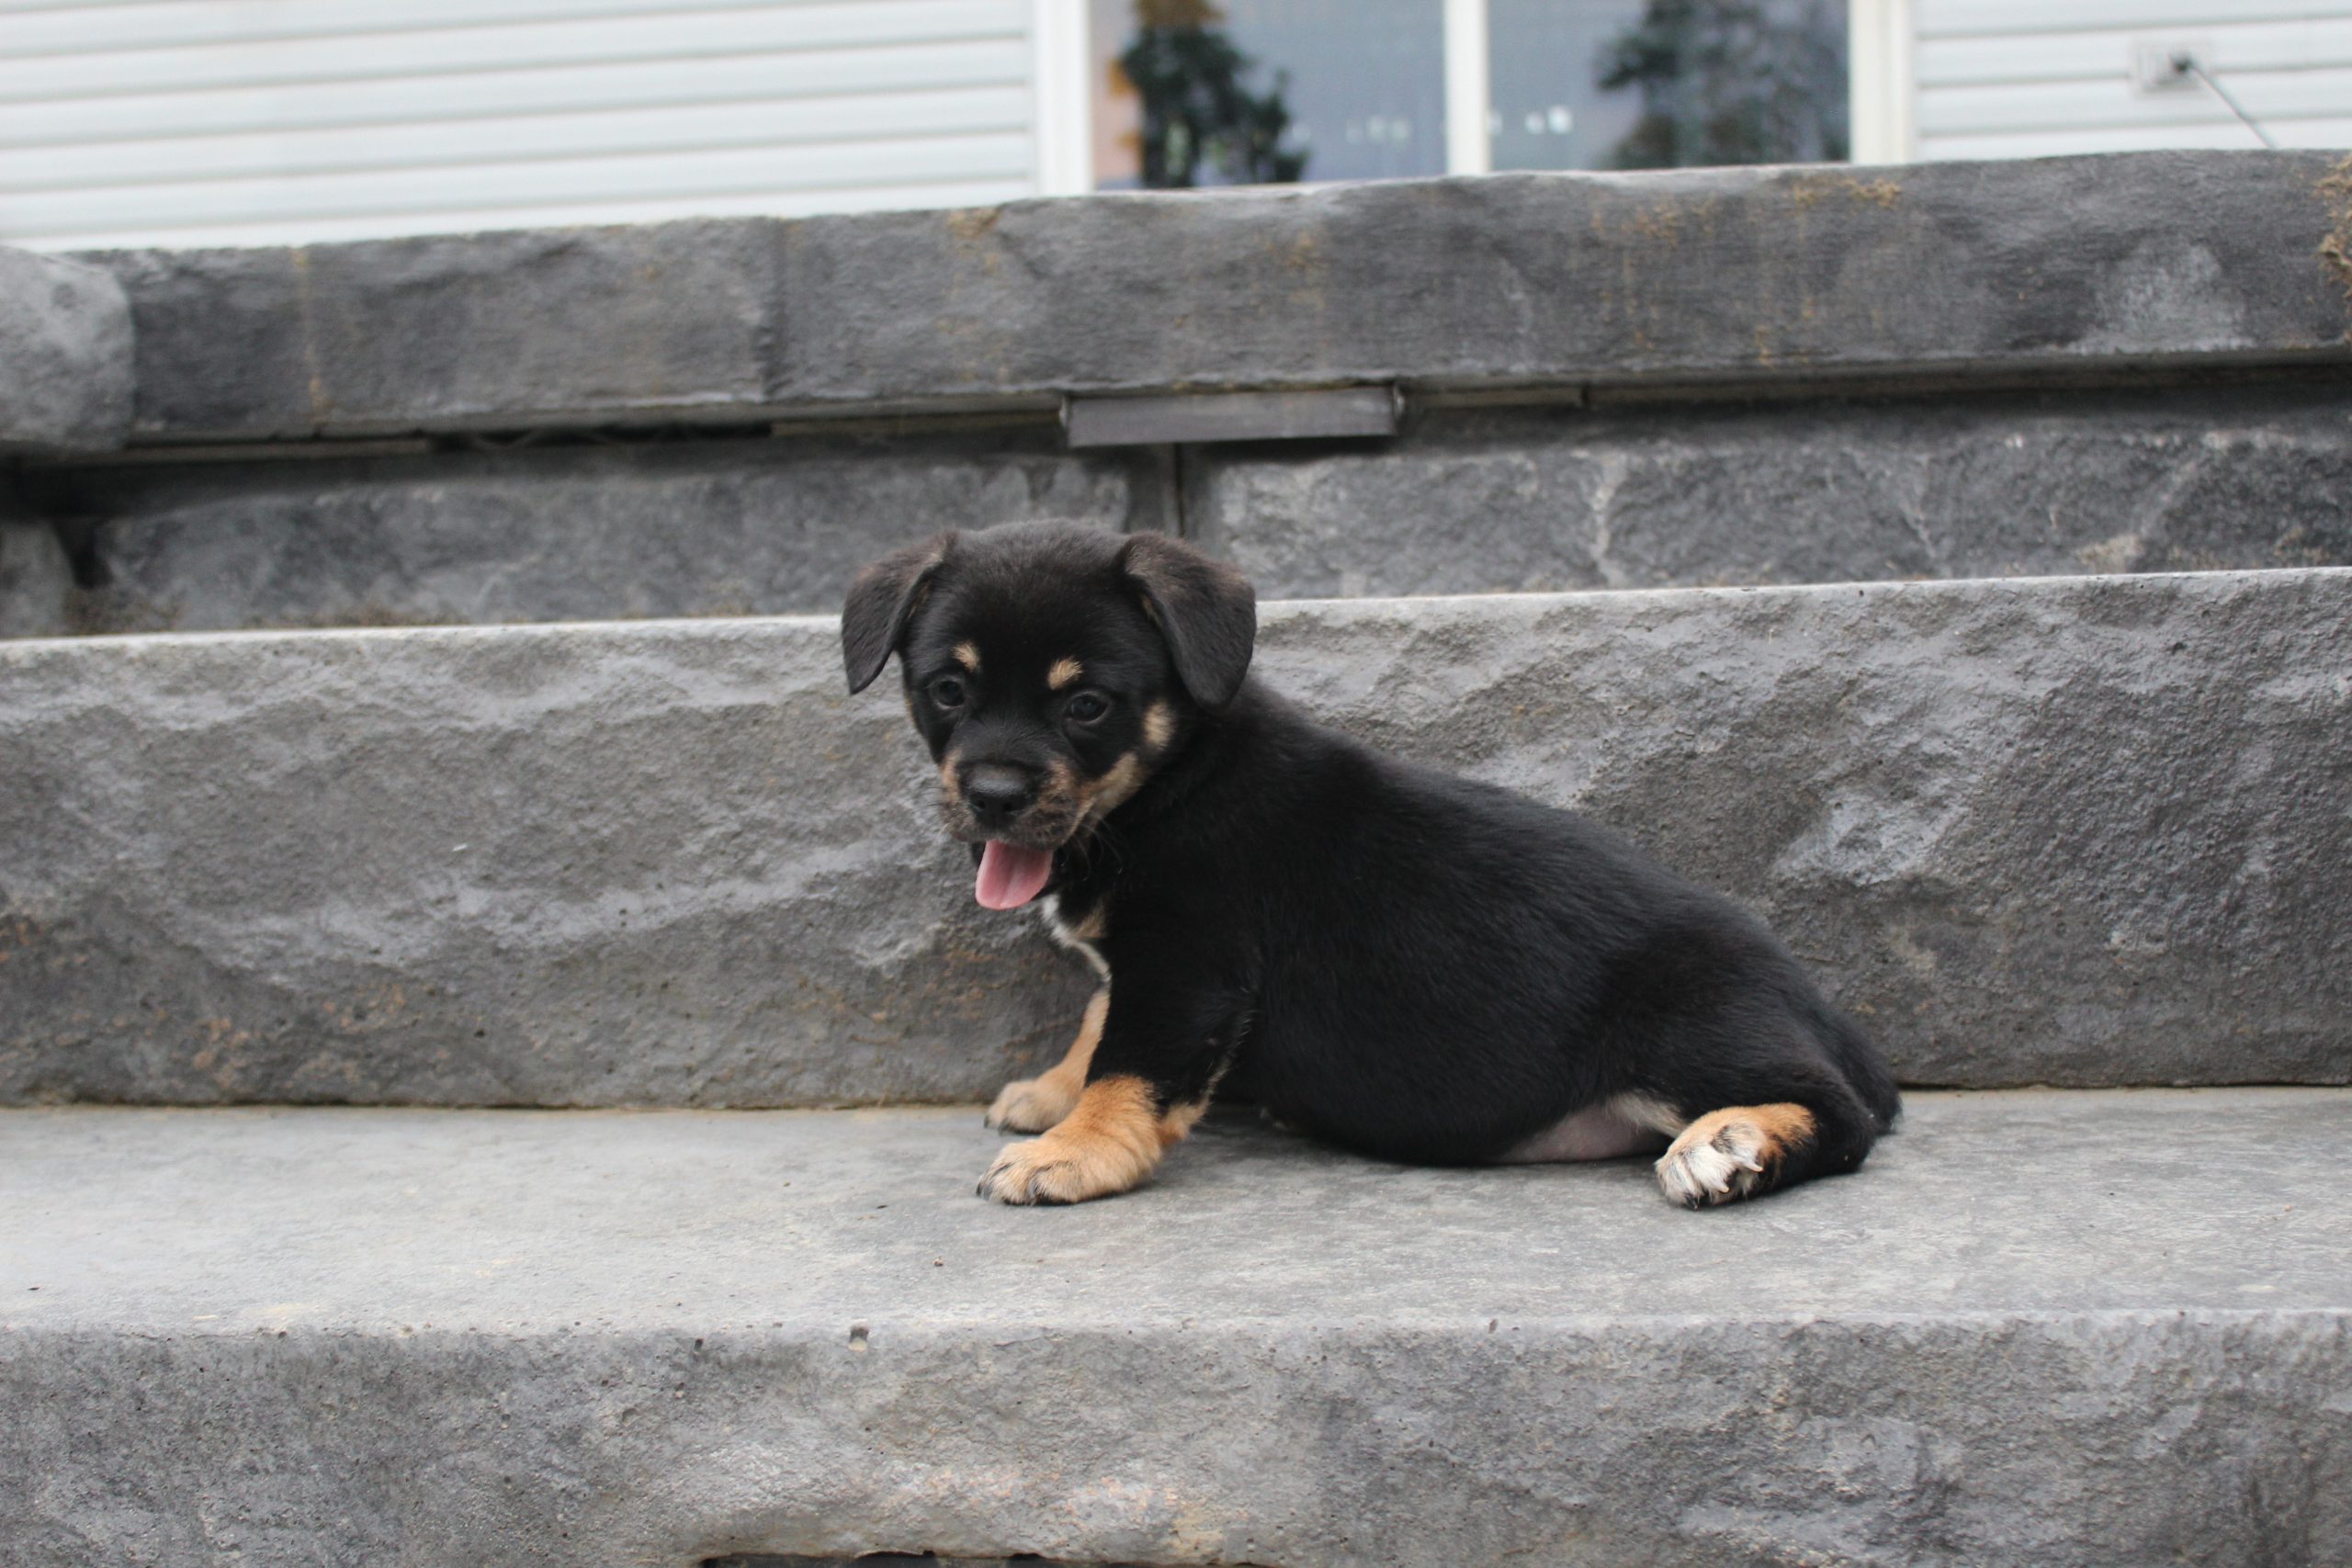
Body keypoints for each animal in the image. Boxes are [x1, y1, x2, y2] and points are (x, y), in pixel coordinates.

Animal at [842, 522, 1900, 1207]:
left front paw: (1074, 1151)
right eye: (947, 689)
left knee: (1844, 1116)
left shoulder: (1191, 964)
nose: (993, 797)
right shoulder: (1141, 962)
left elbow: (1133, 1064)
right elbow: (1099, 1021)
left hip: (1687, 1019)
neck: (1172, 784)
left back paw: (1730, 1144)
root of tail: (1823, 1014)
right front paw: (1050, 1097)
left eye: (1086, 705)